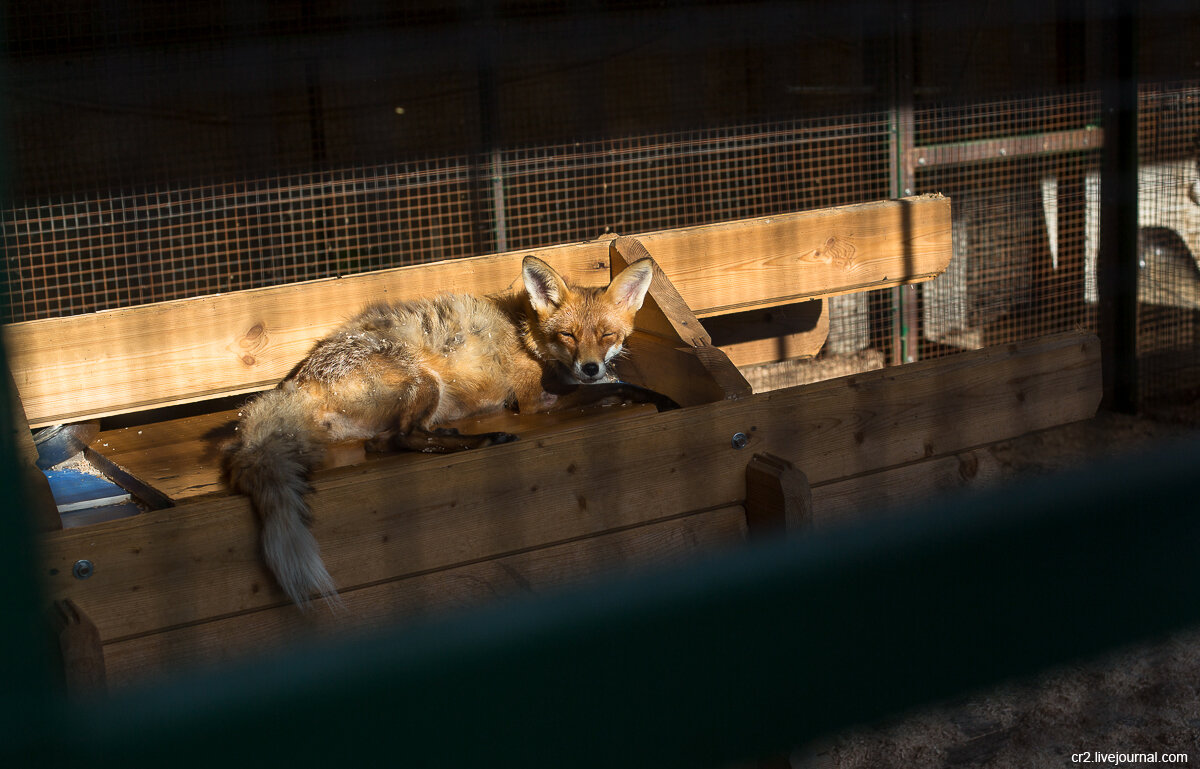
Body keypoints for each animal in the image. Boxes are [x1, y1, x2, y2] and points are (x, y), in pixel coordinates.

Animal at [223, 254, 667, 609]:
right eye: (568, 336)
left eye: (607, 335)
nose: (589, 366)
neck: (526, 333)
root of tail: (296, 383)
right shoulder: (535, 400)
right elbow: (613, 388)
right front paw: (647, 395)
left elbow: (609, 384)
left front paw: (615, 382)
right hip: (425, 381)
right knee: (395, 439)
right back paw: (482, 440)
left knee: (390, 440)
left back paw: (455, 437)